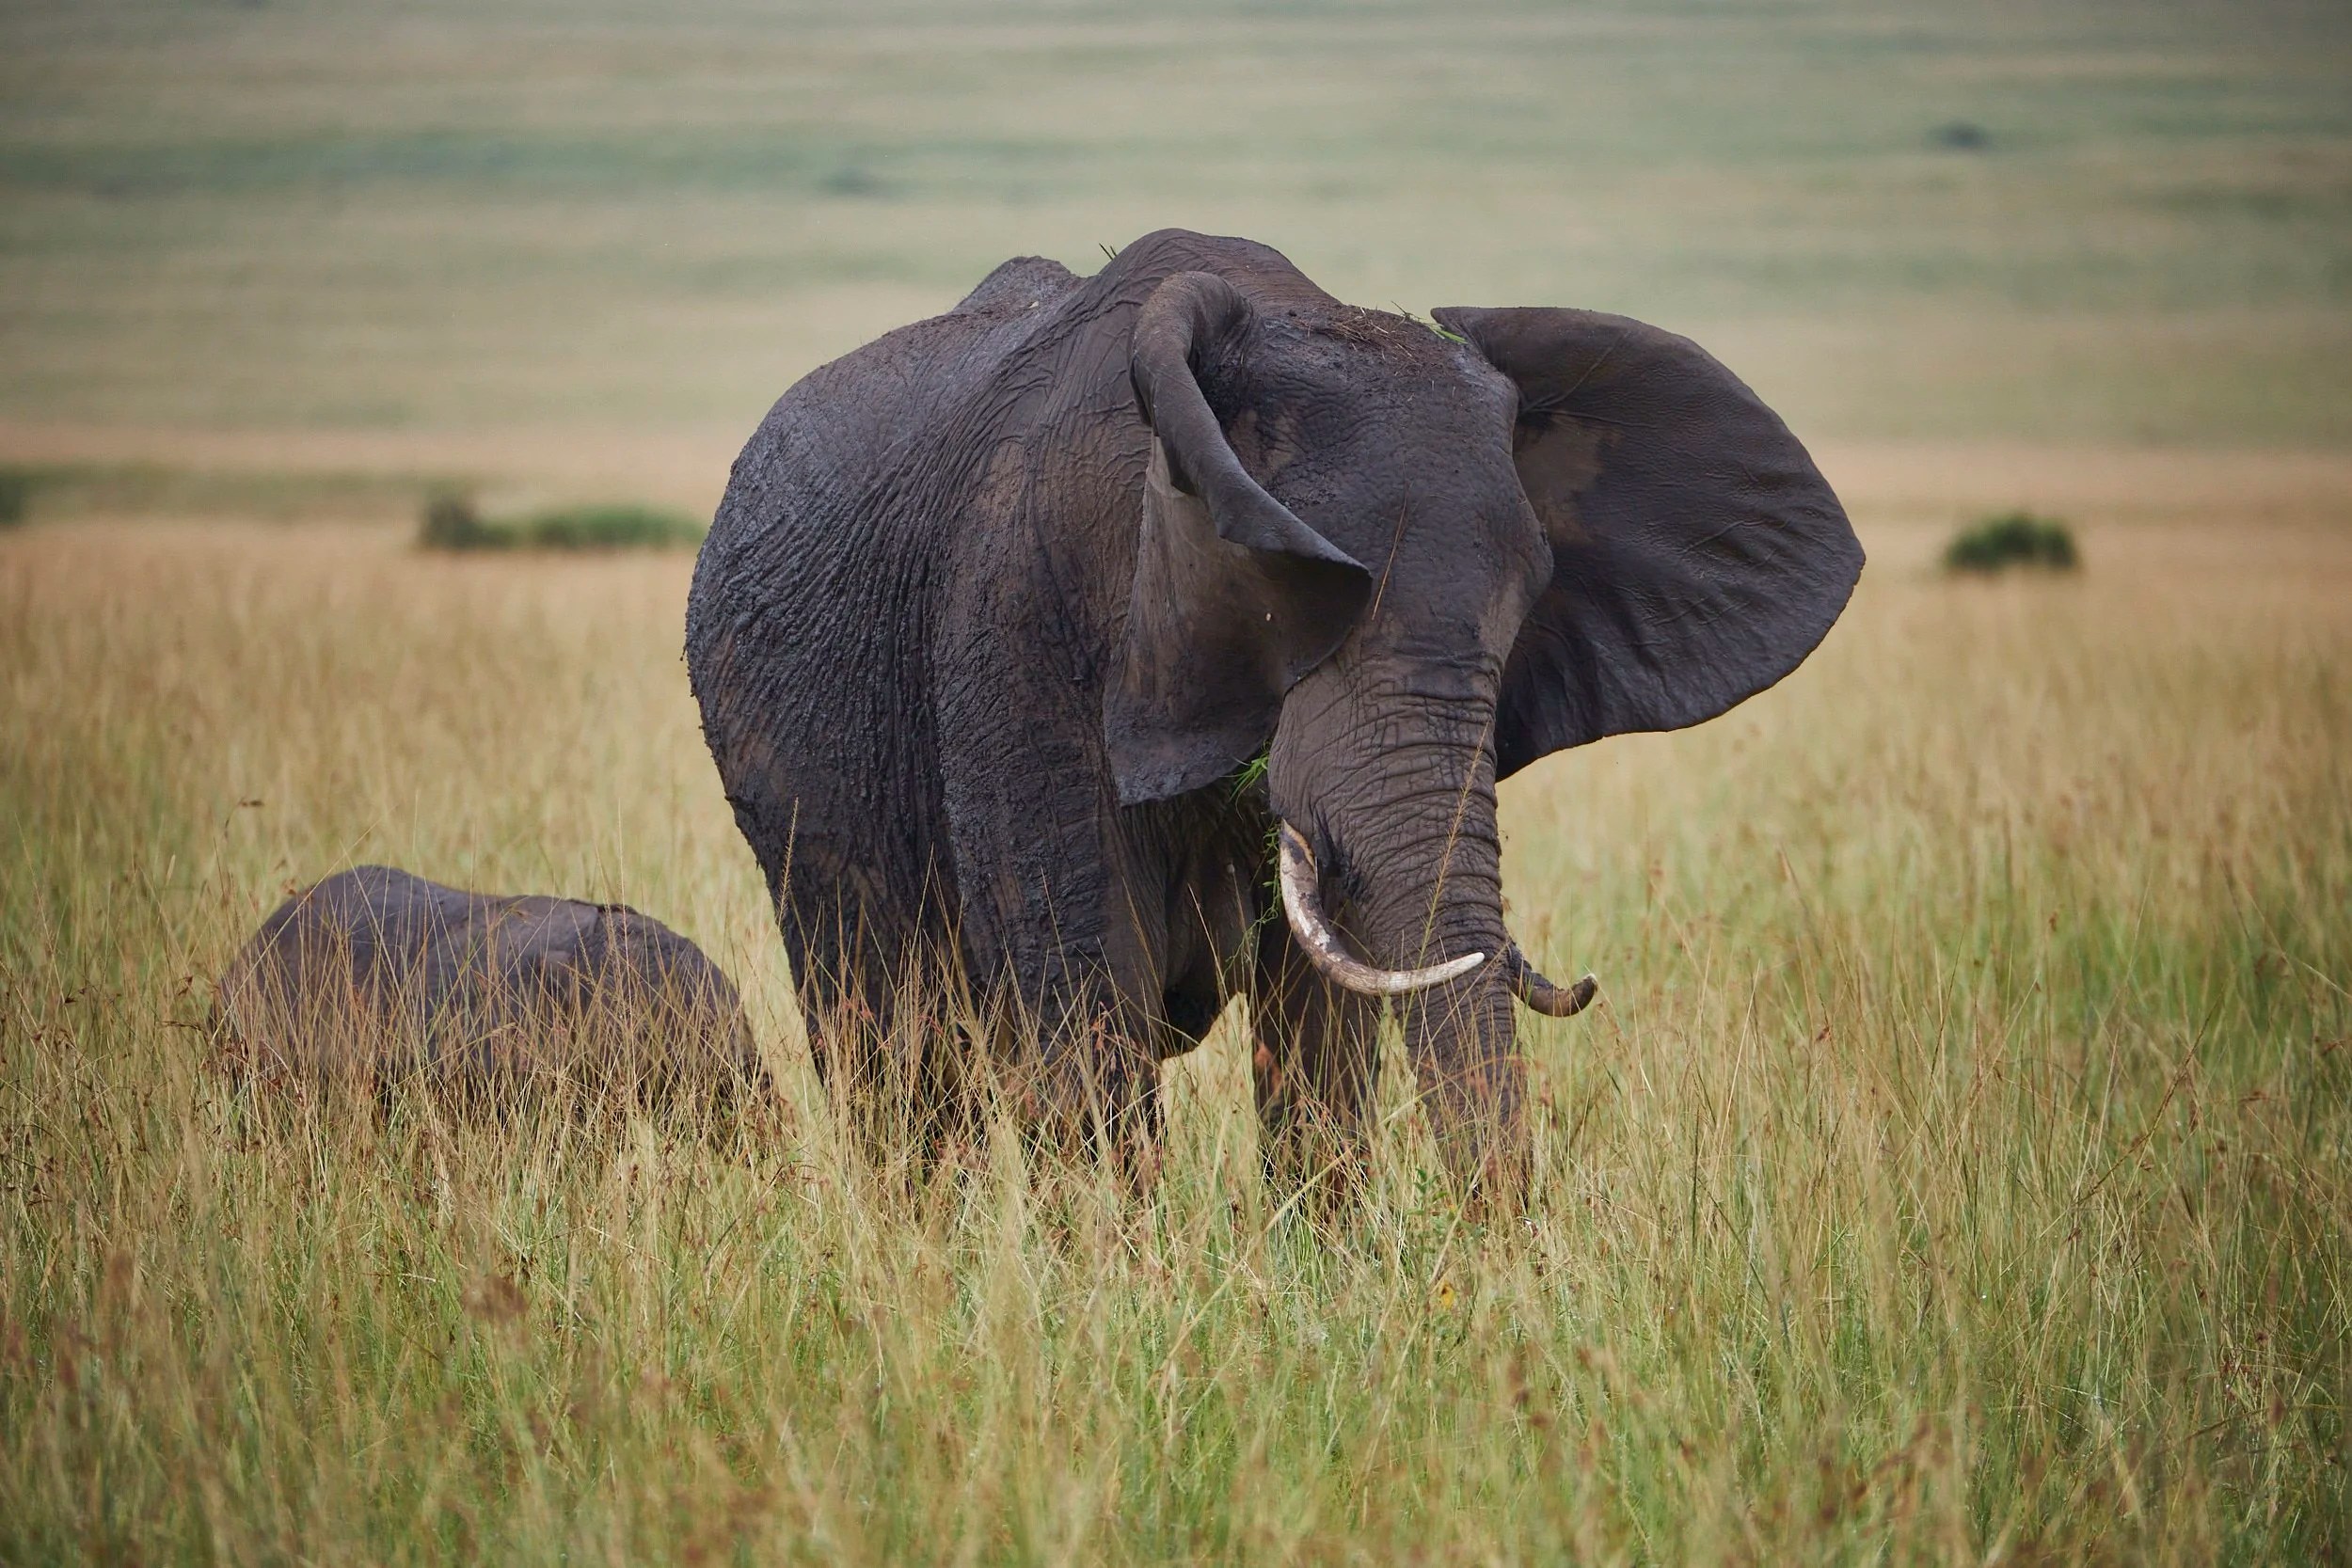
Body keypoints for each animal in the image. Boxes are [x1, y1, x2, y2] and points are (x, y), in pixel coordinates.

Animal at [686, 228, 1861, 1198]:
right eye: (1298, 597)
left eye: (1524, 616)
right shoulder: (1016, 611)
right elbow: (1086, 994)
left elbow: (1320, 1034)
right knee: (893, 1052)